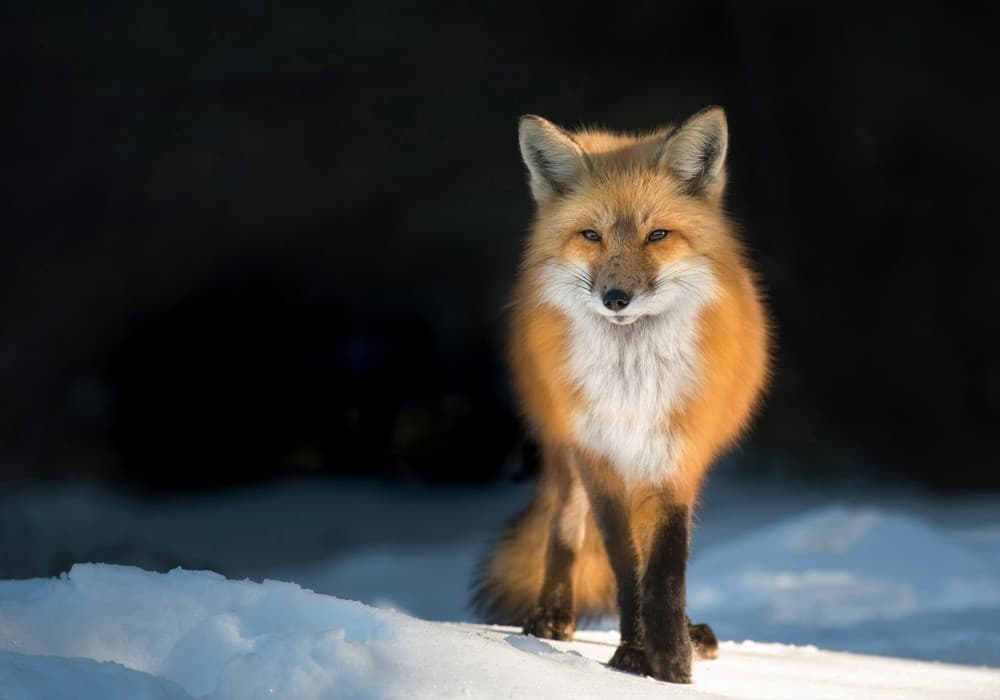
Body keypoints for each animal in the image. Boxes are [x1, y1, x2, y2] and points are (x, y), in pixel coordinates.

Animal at [472, 106, 770, 683]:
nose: (616, 298)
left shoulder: (675, 459)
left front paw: (671, 659)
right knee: (565, 528)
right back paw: (553, 615)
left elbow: (666, 570)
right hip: (564, 450)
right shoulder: (599, 458)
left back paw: (691, 634)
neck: (632, 386)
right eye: (591, 235)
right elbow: (624, 566)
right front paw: (635, 653)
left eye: (658, 235)